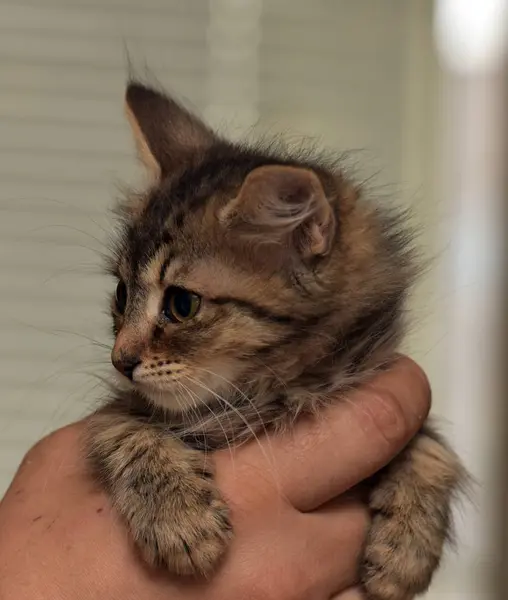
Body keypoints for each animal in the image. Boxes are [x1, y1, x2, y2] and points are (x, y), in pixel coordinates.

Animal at [85, 81, 466, 600]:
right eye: (122, 295)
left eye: (182, 305)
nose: (120, 360)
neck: (275, 395)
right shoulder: (118, 411)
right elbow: (124, 431)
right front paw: (180, 520)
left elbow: (432, 448)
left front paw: (409, 545)